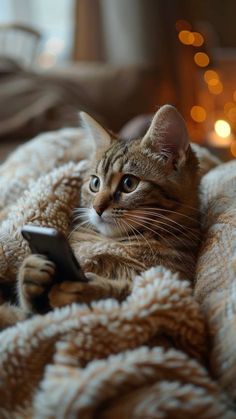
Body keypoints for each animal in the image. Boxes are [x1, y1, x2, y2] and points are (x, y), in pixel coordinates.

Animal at [17, 105, 201, 316]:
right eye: (95, 183)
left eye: (129, 183)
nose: (97, 207)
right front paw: (29, 272)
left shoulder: (172, 279)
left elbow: (135, 291)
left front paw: (90, 290)